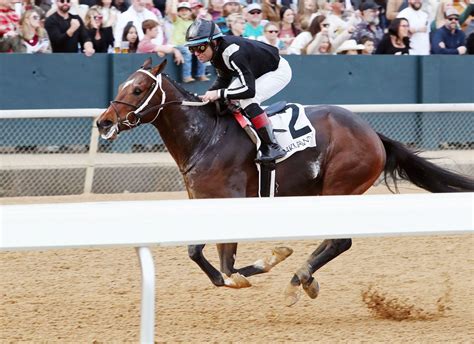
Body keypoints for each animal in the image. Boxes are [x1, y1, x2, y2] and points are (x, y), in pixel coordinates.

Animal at [96, 59, 474, 306]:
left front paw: (265, 261)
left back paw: (300, 278)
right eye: (122, 85)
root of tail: (372, 133)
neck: (205, 137)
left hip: (341, 186)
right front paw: (256, 265)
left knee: (340, 240)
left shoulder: (231, 199)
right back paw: (303, 278)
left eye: (139, 88)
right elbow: (199, 254)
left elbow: (227, 265)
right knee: (335, 240)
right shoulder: (204, 201)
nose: (103, 122)